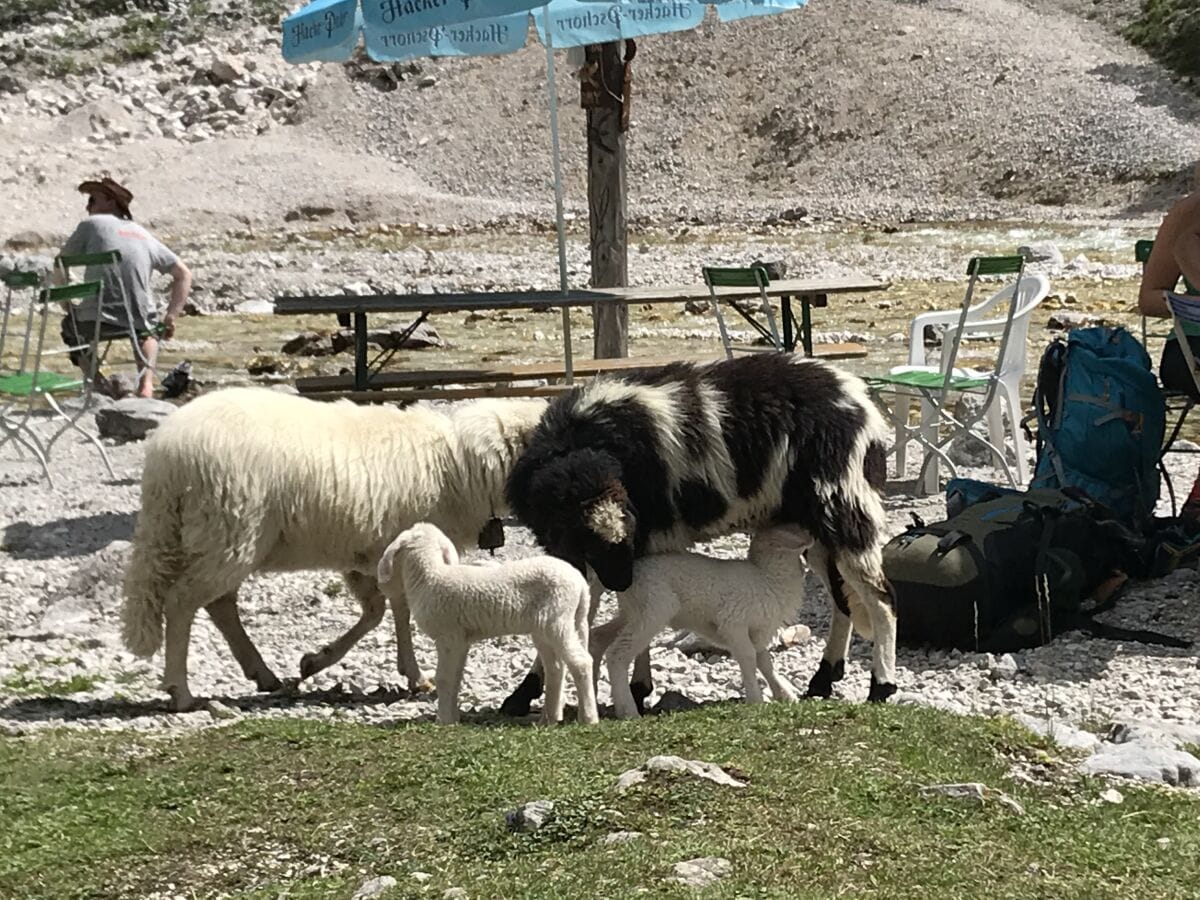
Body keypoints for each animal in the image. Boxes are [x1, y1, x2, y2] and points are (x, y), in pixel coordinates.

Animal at [120, 388, 544, 710]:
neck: (459, 466)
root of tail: (166, 458)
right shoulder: (397, 546)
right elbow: (398, 610)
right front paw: (415, 675)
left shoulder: (363, 553)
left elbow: (375, 612)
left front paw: (315, 661)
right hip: (228, 529)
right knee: (183, 603)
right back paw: (181, 691)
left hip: (216, 536)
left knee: (219, 604)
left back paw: (262, 674)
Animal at [376, 520, 597, 724]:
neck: (430, 577)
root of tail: (580, 584)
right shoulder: (461, 640)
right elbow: (456, 678)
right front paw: (454, 719)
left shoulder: (448, 636)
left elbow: (444, 678)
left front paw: (443, 721)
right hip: (553, 626)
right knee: (556, 667)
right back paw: (549, 718)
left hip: (557, 620)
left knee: (581, 662)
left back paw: (588, 718)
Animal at [590, 525, 816, 724]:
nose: (811, 537)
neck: (766, 575)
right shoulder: (734, 623)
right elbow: (748, 658)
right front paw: (756, 699)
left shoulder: (758, 631)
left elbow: (765, 663)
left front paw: (786, 695)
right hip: (654, 608)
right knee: (617, 653)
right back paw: (627, 711)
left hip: (632, 611)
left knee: (598, 637)